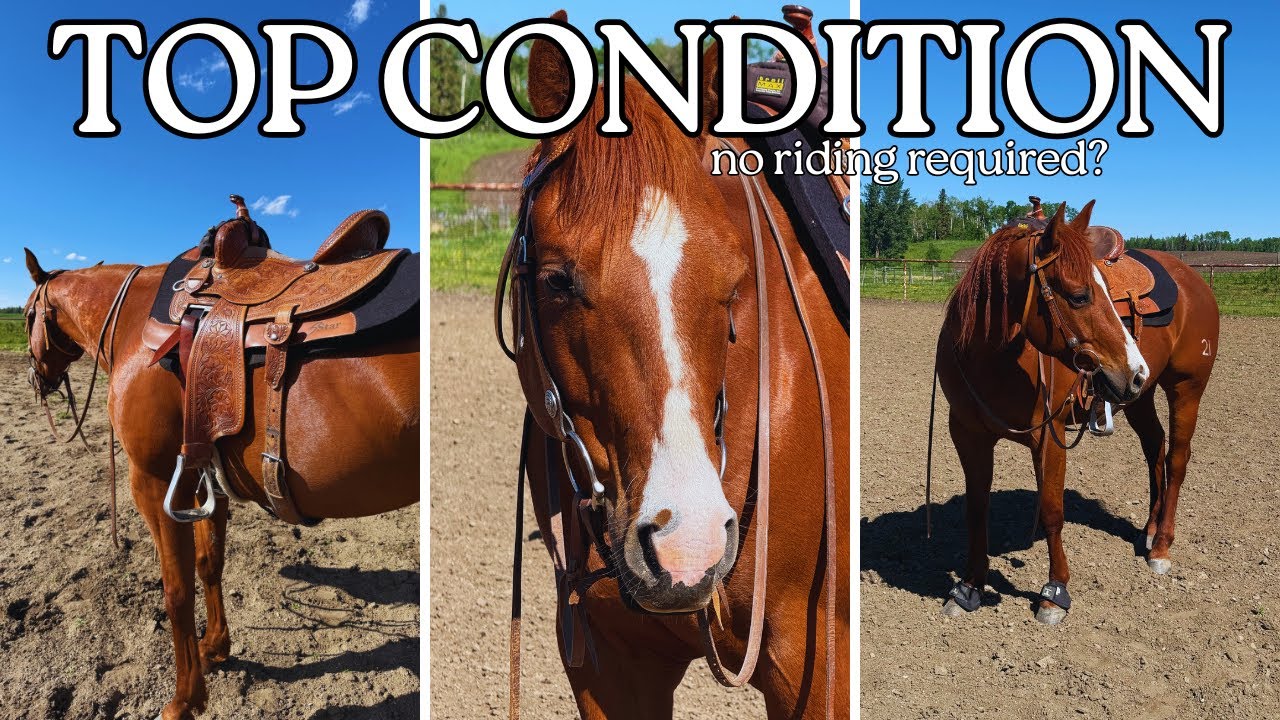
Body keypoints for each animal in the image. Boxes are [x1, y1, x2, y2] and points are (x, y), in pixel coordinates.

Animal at [22, 241, 418, 719]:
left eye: (26, 315)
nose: (37, 379)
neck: (132, 322)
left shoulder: (153, 482)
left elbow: (176, 590)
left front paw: (184, 699)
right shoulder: (204, 474)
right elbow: (210, 563)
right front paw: (215, 648)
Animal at [934, 201, 1218, 624]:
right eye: (1080, 296)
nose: (1134, 370)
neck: (993, 356)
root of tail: (1194, 281)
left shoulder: (1048, 437)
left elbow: (1052, 510)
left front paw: (1055, 593)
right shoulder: (967, 433)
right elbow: (976, 507)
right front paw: (969, 586)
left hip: (1185, 388)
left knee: (1177, 458)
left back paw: (1162, 547)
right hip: (1141, 396)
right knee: (1155, 449)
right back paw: (1148, 531)